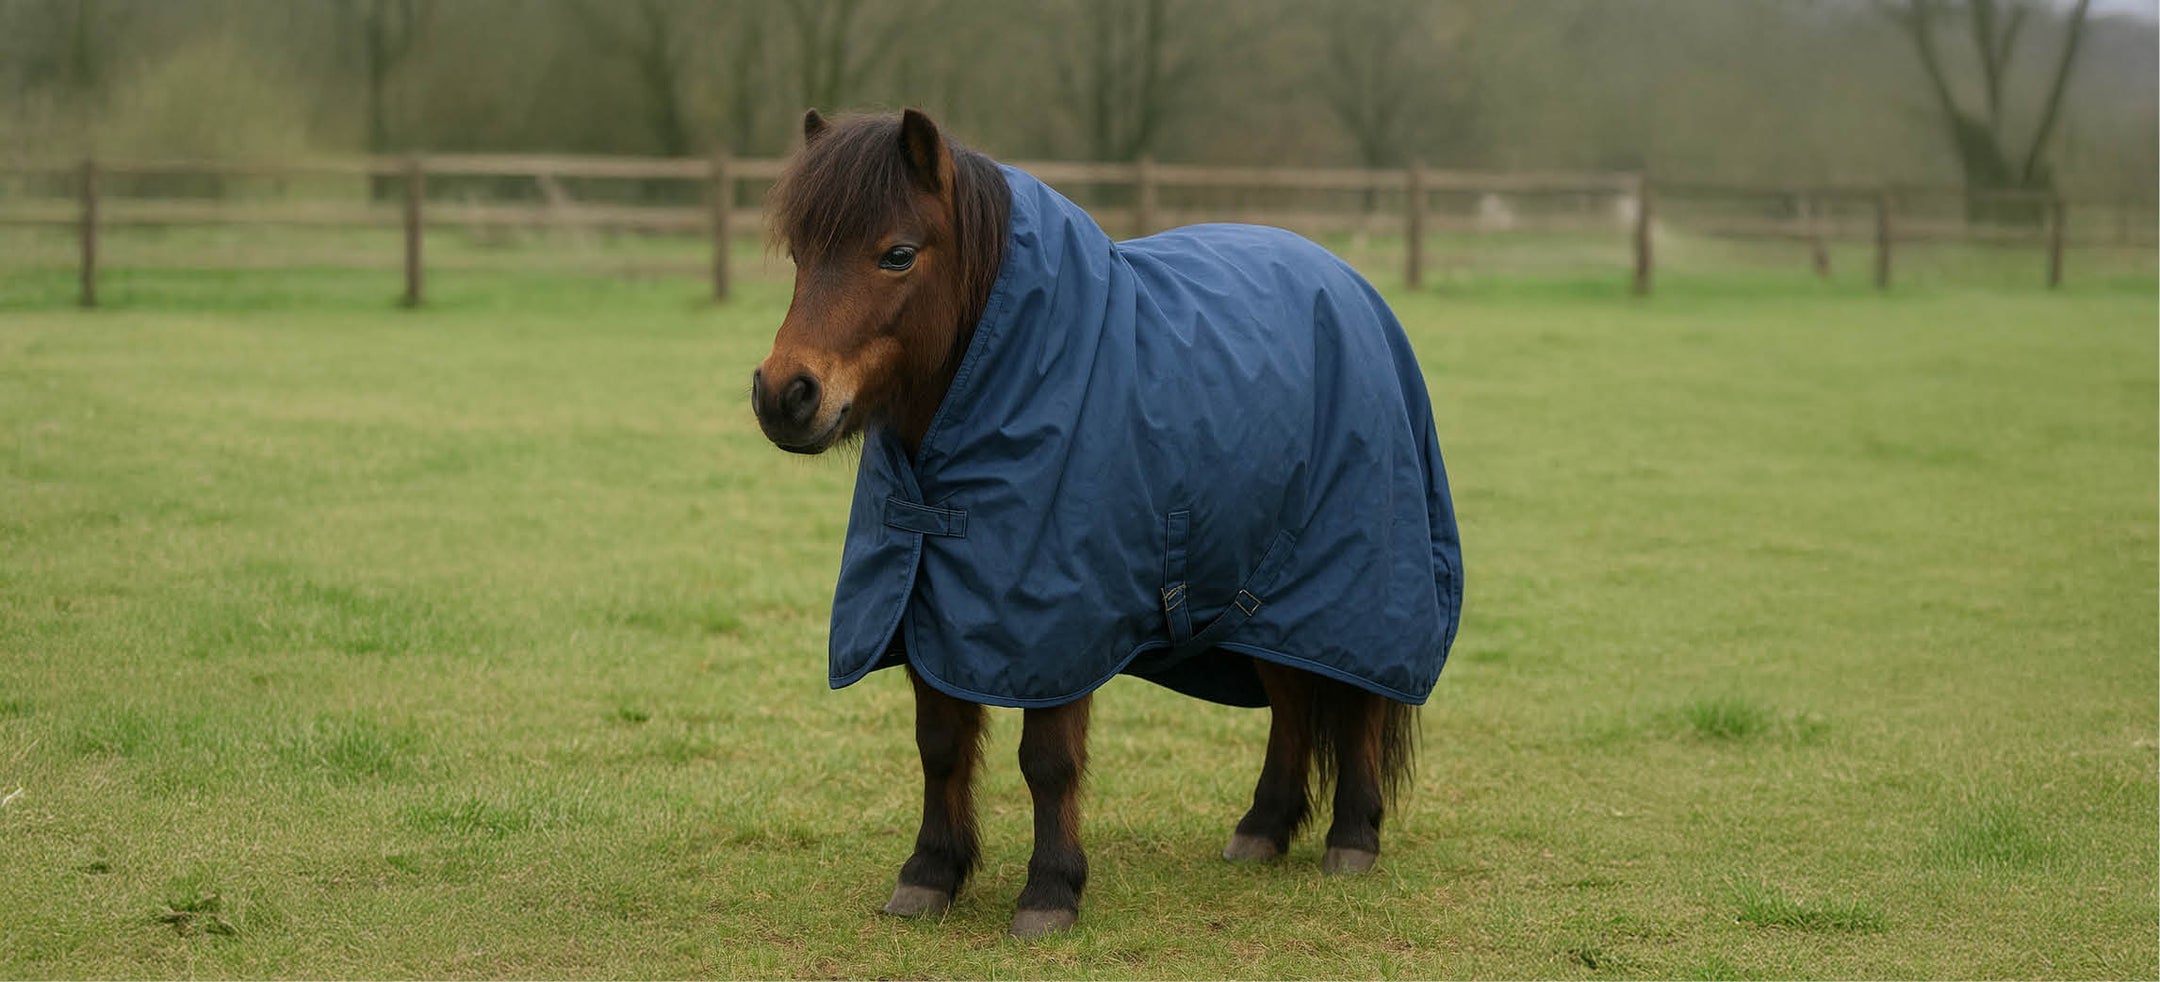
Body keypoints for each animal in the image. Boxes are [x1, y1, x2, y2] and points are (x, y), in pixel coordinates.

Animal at [753, 108, 1463, 938]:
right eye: (800, 253)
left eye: (897, 254)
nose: (784, 395)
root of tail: (1352, 288)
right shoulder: (929, 605)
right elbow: (940, 744)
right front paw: (929, 874)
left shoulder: (1058, 625)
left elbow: (1048, 761)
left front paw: (1051, 891)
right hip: (1264, 599)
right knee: (1293, 698)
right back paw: (1263, 828)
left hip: (1359, 589)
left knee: (1357, 704)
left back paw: (1352, 837)